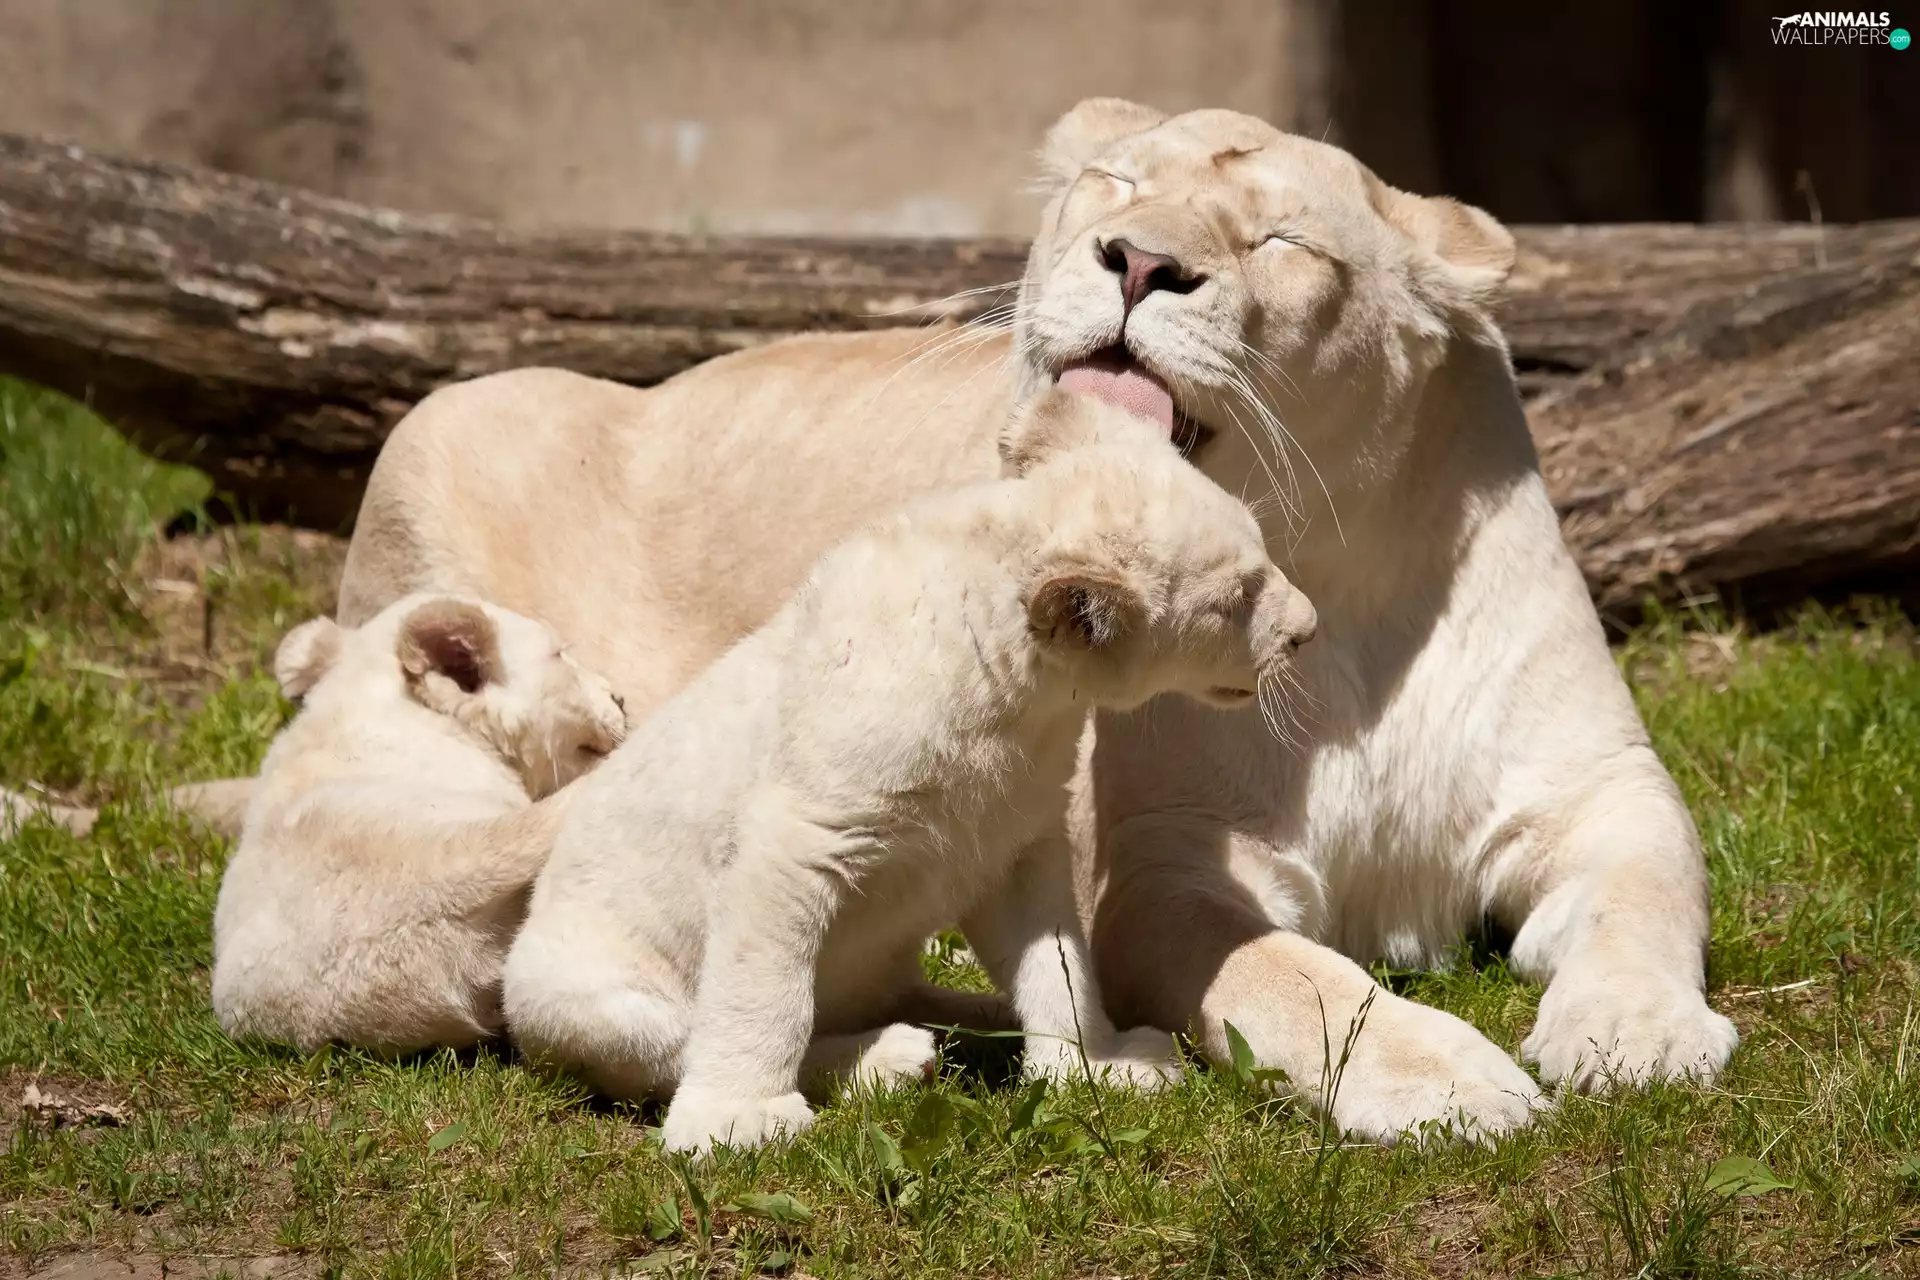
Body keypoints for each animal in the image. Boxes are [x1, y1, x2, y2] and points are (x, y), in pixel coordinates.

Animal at [315, 99, 1734, 1140]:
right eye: (1113, 181)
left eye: (1281, 241)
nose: (1143, 262)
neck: (1343, 584)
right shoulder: (1159, 868)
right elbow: (1299, 976)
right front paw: (1444, 1076)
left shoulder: (1598, 781)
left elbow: (1654, 886)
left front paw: (1634, 1031)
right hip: (440, 420)